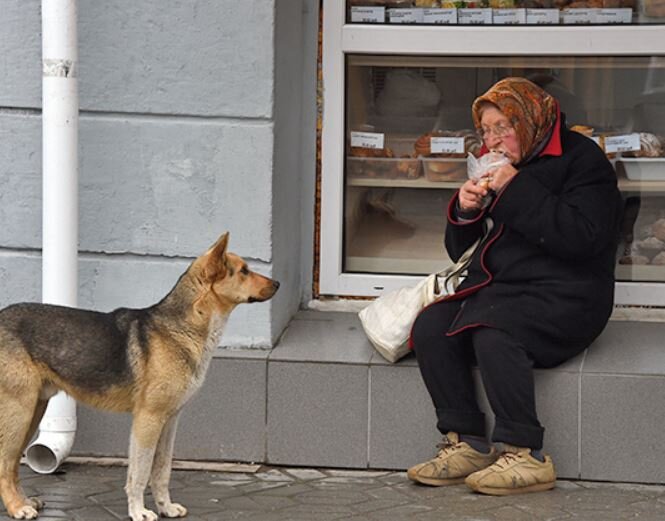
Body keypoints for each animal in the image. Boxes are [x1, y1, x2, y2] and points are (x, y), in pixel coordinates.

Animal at [0, 233, 278, 520]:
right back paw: (17, 508)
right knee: (4, 464)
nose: (277, 283)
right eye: (244, 271)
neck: (182, 328)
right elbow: (140, 473)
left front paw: (166, 507)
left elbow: (162, 470)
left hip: (33, 412)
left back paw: (24, 502)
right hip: (19, 412)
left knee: (13, 465)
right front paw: (139, 511)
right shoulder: (148, 420)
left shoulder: (170, 421)